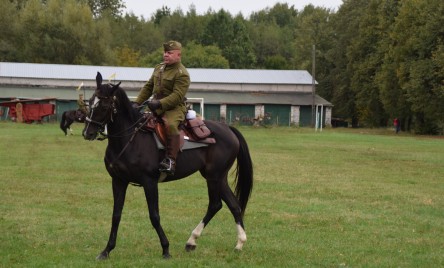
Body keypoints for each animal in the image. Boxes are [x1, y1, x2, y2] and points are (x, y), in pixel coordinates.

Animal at [81, 73, 251, 260]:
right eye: (90, 101)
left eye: (104, 105)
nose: (87, 132)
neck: (130, 139)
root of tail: (227, 128)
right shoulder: (118, 181)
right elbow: (116, 215)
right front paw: (106, 250)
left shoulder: (149, 182)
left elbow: (154, 216)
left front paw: (165, 249)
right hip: (217, 177)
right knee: (232, 204)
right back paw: (235, 243)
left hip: (214, 177)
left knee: (215, 204)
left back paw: (196, 240)